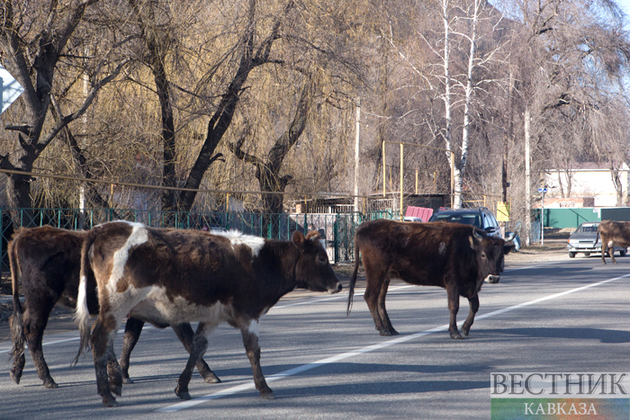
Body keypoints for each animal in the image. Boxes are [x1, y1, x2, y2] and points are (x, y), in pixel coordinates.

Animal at [6, 228, 220, 388]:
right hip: (42, 299)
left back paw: (17, 370)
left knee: (17, 323)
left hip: (33, 301)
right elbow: (189, 341)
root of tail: (24, 235)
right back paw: (47, 378)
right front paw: (209, 373)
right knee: (33, 332)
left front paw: (124, 373)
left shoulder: (137, 314)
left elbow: (130, 340)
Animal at [76, 221, 344, 406]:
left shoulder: (212, 317)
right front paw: (264, 388)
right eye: (321, 258)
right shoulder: (249, 315)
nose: (339, 285)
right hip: (117, 304)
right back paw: (107, 393)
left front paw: (183, 387)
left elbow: (197, 347)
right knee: (100, 339)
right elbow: (253, 352)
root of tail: (105, 227)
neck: (263, 261)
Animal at [348, 220, 512, 338]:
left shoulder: (470, 287)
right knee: (370, 297)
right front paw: (454, 332)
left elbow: (475, 306)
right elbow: (454, 306)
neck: (468, 247)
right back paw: (382, 329)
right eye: (483, 254)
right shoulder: (453, 283)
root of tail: (362, 227)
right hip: (376, 274)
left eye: (500, 256)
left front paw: (465, 328)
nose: (493, 277)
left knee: (380, 301)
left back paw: (391, 329)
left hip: (385, 278)